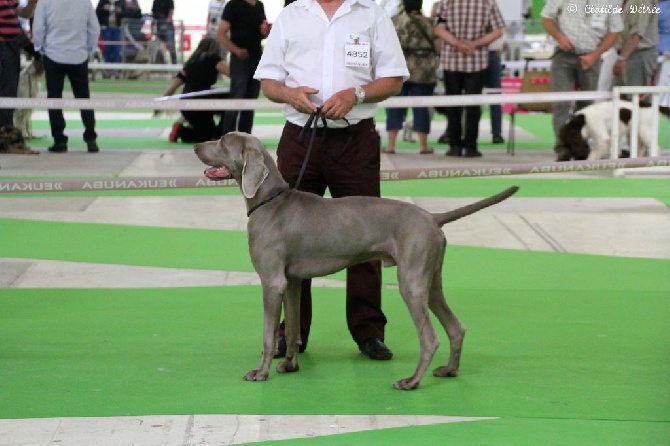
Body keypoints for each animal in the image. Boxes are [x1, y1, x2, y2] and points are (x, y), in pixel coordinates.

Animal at [194, 132, 520, 390]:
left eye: (222, 141)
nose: (196, 145)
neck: (270, 200)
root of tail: (431, 216)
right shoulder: (293, 282)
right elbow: (294, 327)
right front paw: (289, 365)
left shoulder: (272, 283)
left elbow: (267, 335)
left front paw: (261, 373)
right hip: (431, 281)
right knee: (456, 327)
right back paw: (450, 370)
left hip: (411, 283)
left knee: (430, 339)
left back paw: (411, 381)